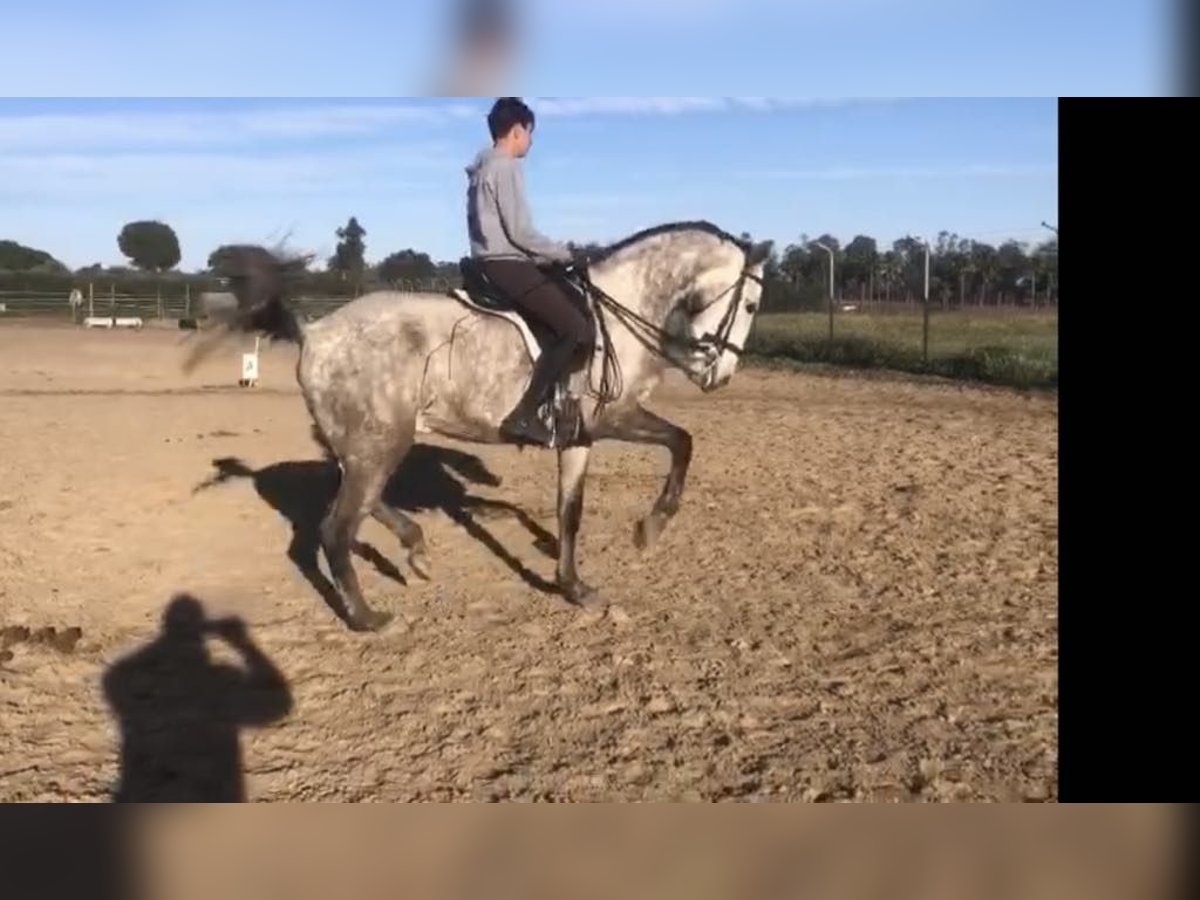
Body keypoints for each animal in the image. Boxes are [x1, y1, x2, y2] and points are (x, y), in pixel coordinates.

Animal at [196, 220, 768, 633]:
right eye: (751, 303)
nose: (721, 376)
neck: (622, 311)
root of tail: (315, 332)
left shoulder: (579, 436)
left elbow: (570, 512)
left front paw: (573, 587)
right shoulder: (613, 417)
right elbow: (682, 442)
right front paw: (652, 527)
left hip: (368, 442)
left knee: (361, 500)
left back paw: (416, 548)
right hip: (380, 441)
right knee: (338, 528)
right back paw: (369, 618)